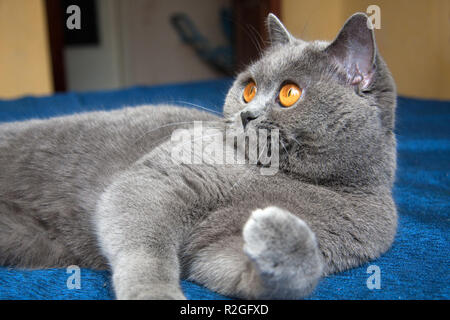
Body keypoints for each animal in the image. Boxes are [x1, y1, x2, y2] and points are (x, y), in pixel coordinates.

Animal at [0, 13, 396, 300]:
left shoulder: (218, 255)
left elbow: (290, 273)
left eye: (289, 93)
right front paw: (155, 294)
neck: (294, 179)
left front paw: (277, 231)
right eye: (248, 89)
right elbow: (146, 248)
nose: (247, 114)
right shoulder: (159, 179)